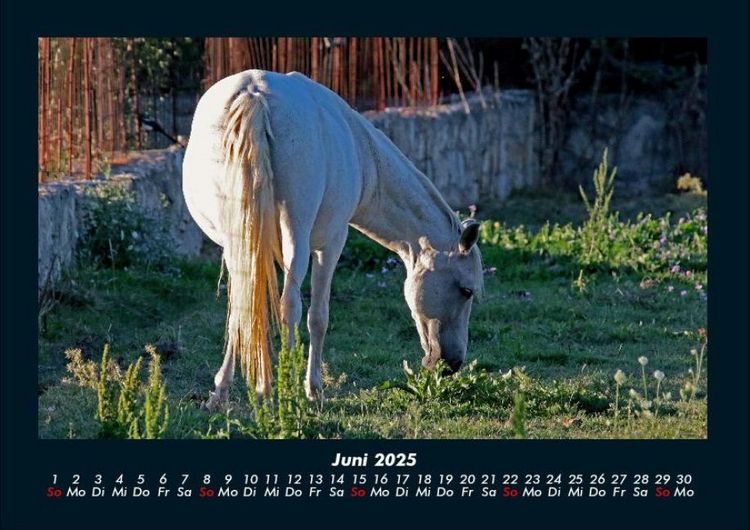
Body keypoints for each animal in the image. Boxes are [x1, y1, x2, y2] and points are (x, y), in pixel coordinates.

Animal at [182, 70, 483, 408]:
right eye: (467, 291)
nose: (452, 364)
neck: (364, 156)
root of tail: (255, 94)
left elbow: (245, 309)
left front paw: (226, 390)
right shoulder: (331, 244)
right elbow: (318, 317)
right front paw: (313, 389)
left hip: (239, 240)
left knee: (244, 305)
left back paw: (234, 392)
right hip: (296, 238)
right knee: (290, 306)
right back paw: (284, 393)